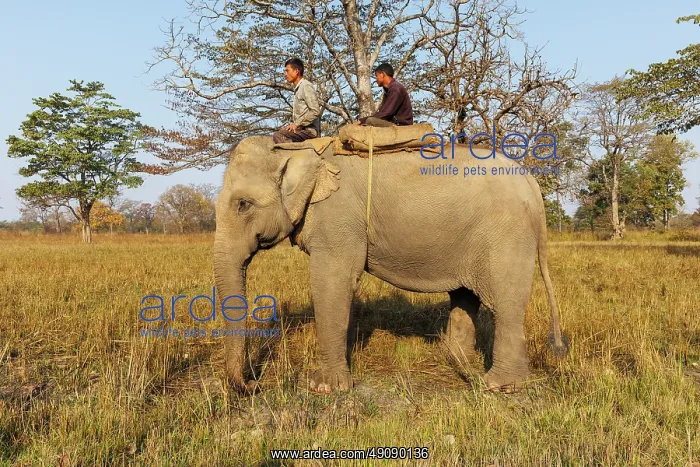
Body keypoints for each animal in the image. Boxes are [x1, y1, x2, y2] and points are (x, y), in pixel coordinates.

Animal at [213, 135, 569, 394]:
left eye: (243, 205)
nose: (253, 383)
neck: (298, 149)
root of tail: (532, 184)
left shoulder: (337, 219)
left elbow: (332, 281)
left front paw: (324, 388)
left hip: (506, 235)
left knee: (504, 303)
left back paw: (498, 385)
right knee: (465, 296)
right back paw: (456, 361)